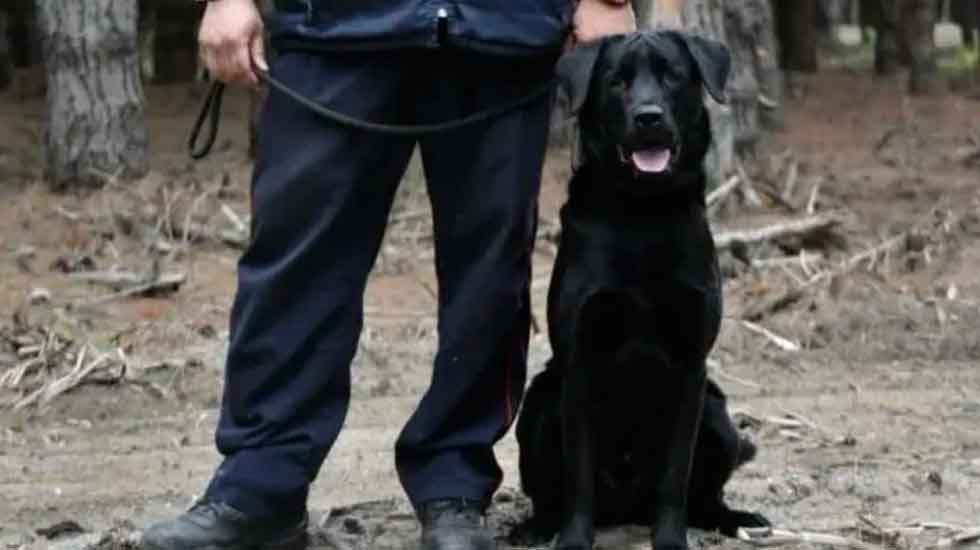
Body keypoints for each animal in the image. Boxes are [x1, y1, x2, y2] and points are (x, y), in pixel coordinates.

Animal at [516, 31, 768, 550]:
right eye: (616, 80)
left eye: (672, 75)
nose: (648, 116)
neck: (642, 212)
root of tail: (627, 508)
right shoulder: (579, 362)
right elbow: (579, 476)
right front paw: (574, 540)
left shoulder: (692, 367)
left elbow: (675, 475)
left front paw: (670, 540)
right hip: (540, 402)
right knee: (550, 491)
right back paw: (536, 527)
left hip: (717, 414)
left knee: (704, 497)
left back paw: (735, 518)